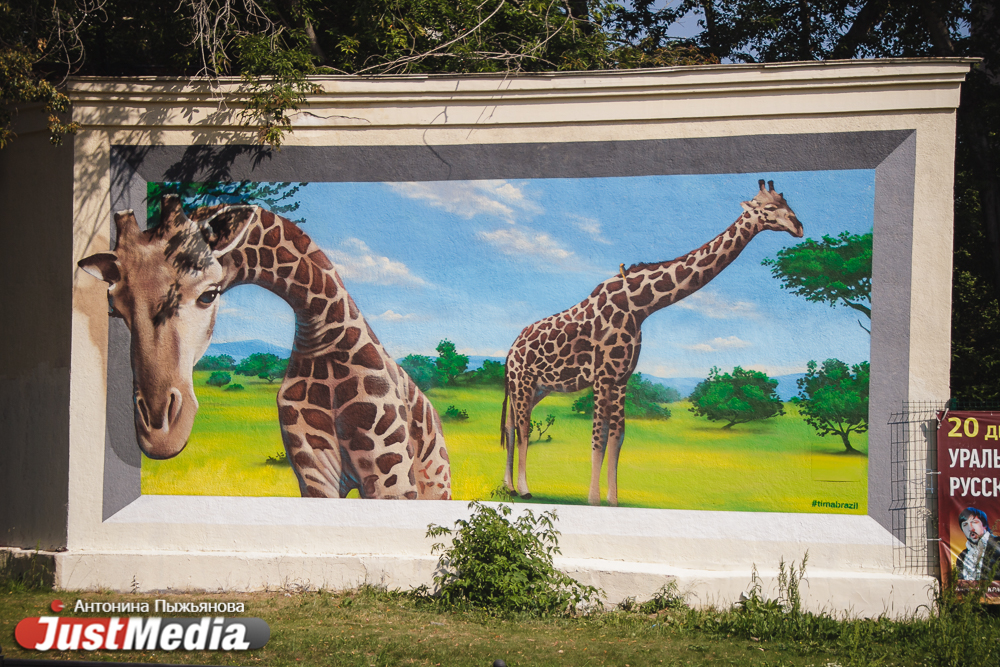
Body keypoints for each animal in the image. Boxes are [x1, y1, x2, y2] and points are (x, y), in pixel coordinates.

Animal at [78, 195, 451, 500]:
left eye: (209, 294)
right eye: (114, 310)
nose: (159, 435)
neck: (323, 338)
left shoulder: (391, 476)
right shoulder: (315, 471)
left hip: (434, 483)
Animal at [501, 180, 803, 506]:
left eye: (789, 205)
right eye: (770, 207)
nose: (799, 227)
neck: (640, 306)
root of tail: (510, 350)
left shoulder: (622, 378)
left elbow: (617, 438)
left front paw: (613, 501)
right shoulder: (603, 376)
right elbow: (598, 439)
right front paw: (593, 500)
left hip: (536, 388)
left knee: (510, 425)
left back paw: (508, 487)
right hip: (523, 381)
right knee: (522, 428)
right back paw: (524, 488)